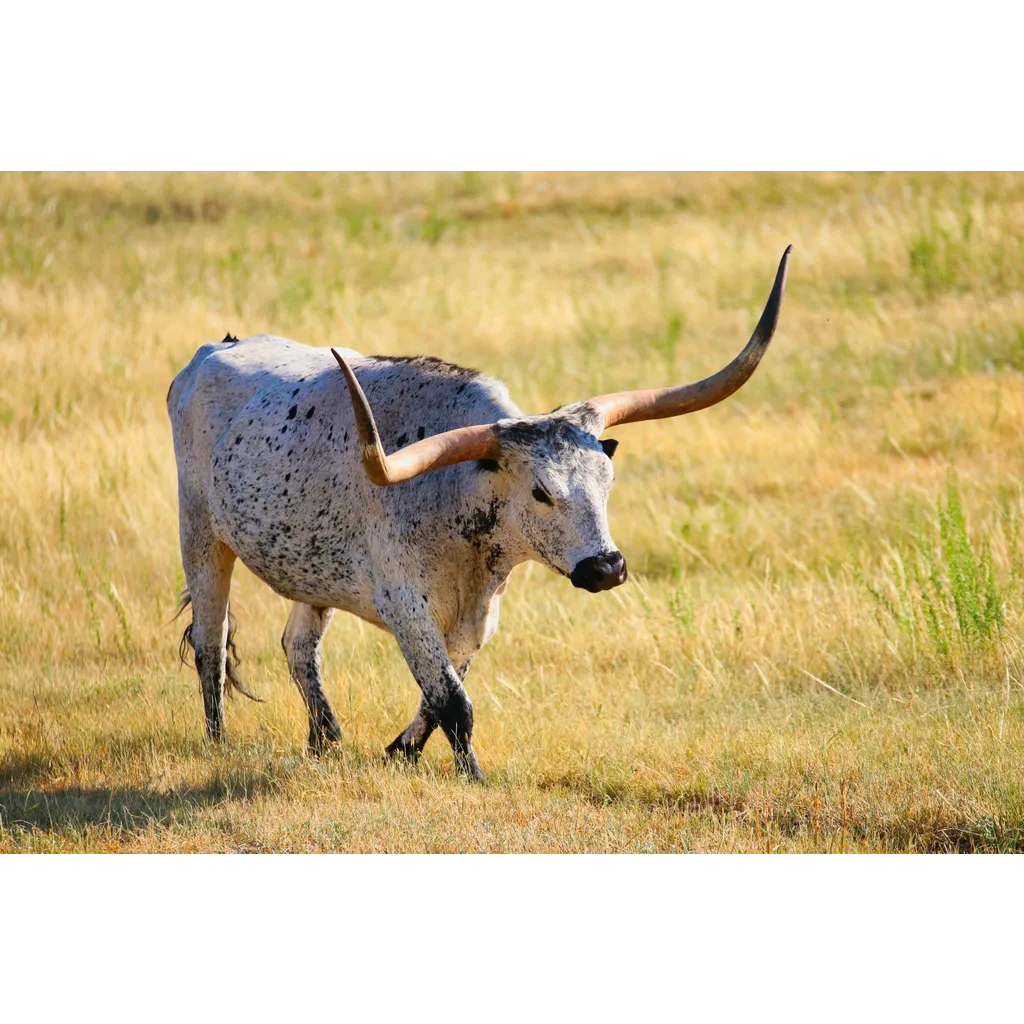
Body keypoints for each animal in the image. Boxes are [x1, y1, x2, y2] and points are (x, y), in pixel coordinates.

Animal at [167, 246, 791, 780]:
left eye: (607, 481)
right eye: (541, 492)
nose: (607, 568)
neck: (457, 496)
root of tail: (212, 351)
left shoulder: (478, 614)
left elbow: (440, 694)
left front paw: (400, 751)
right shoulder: (406, 605)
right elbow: (453, 701)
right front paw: (474, 776)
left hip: (312, 570)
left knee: (299, 648)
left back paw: (326, 740)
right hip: (200, 532)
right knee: (210, 641)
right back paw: (218, 742)